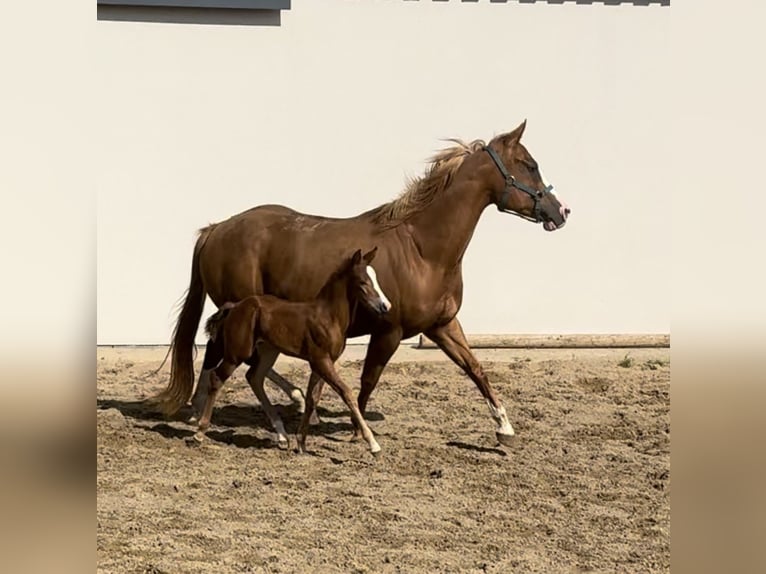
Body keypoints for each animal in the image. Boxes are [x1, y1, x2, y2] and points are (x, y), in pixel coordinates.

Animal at [195, 250, 392, 456]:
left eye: (375, 278)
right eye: (363, 282)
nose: (385, 306)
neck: (329, 317)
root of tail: (236, 306)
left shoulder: (321, 363)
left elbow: (312, 398)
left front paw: (301, 442)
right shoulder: (321, 360)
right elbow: (346, 393)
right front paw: (373, 444)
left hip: (268, 351)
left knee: (254, 377)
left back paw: (283, 435)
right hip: (237, 353)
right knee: (217, 377)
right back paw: (200, 432)